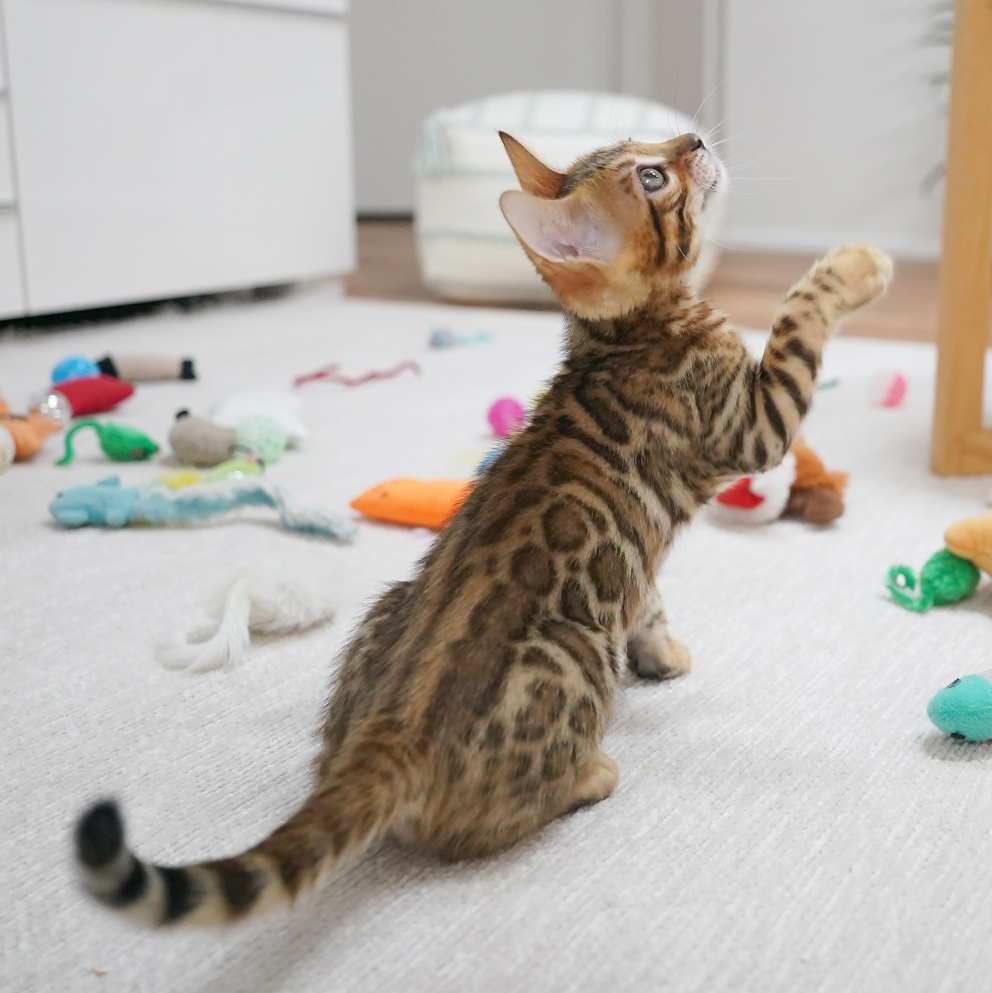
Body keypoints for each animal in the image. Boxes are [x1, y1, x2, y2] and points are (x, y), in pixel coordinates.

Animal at [75, 130, 892, 924]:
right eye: (653, 178)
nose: (693, 137)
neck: (625, 336)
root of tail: (388, 735)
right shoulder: (750, 423)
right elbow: (796, 323)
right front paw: (854, 265)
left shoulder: (641, 557)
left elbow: (649, 599)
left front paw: (662, 651)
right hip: (574, 659)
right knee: (482, 827)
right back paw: (590, 775)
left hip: (389, 603)